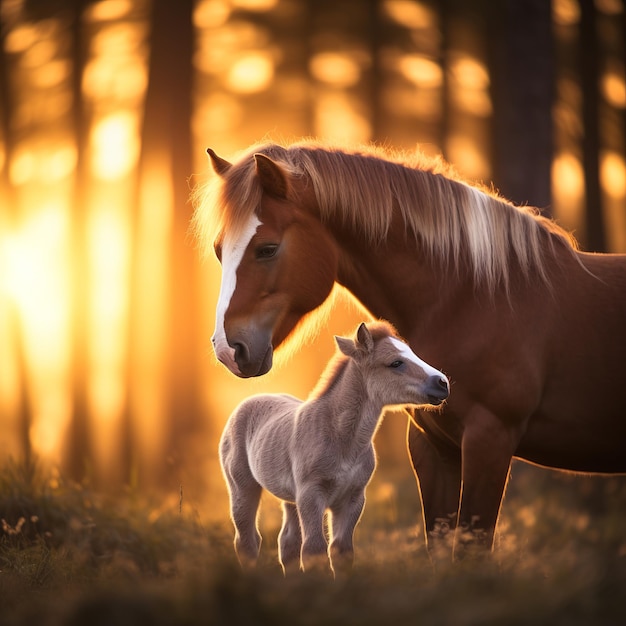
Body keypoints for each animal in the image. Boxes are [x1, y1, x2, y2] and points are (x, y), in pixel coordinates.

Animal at [194, 140, 624, 556]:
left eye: (266, 248)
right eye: (218, 250)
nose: (228, 349)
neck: (473, 298)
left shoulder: (490, 439)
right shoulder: (434, 447)